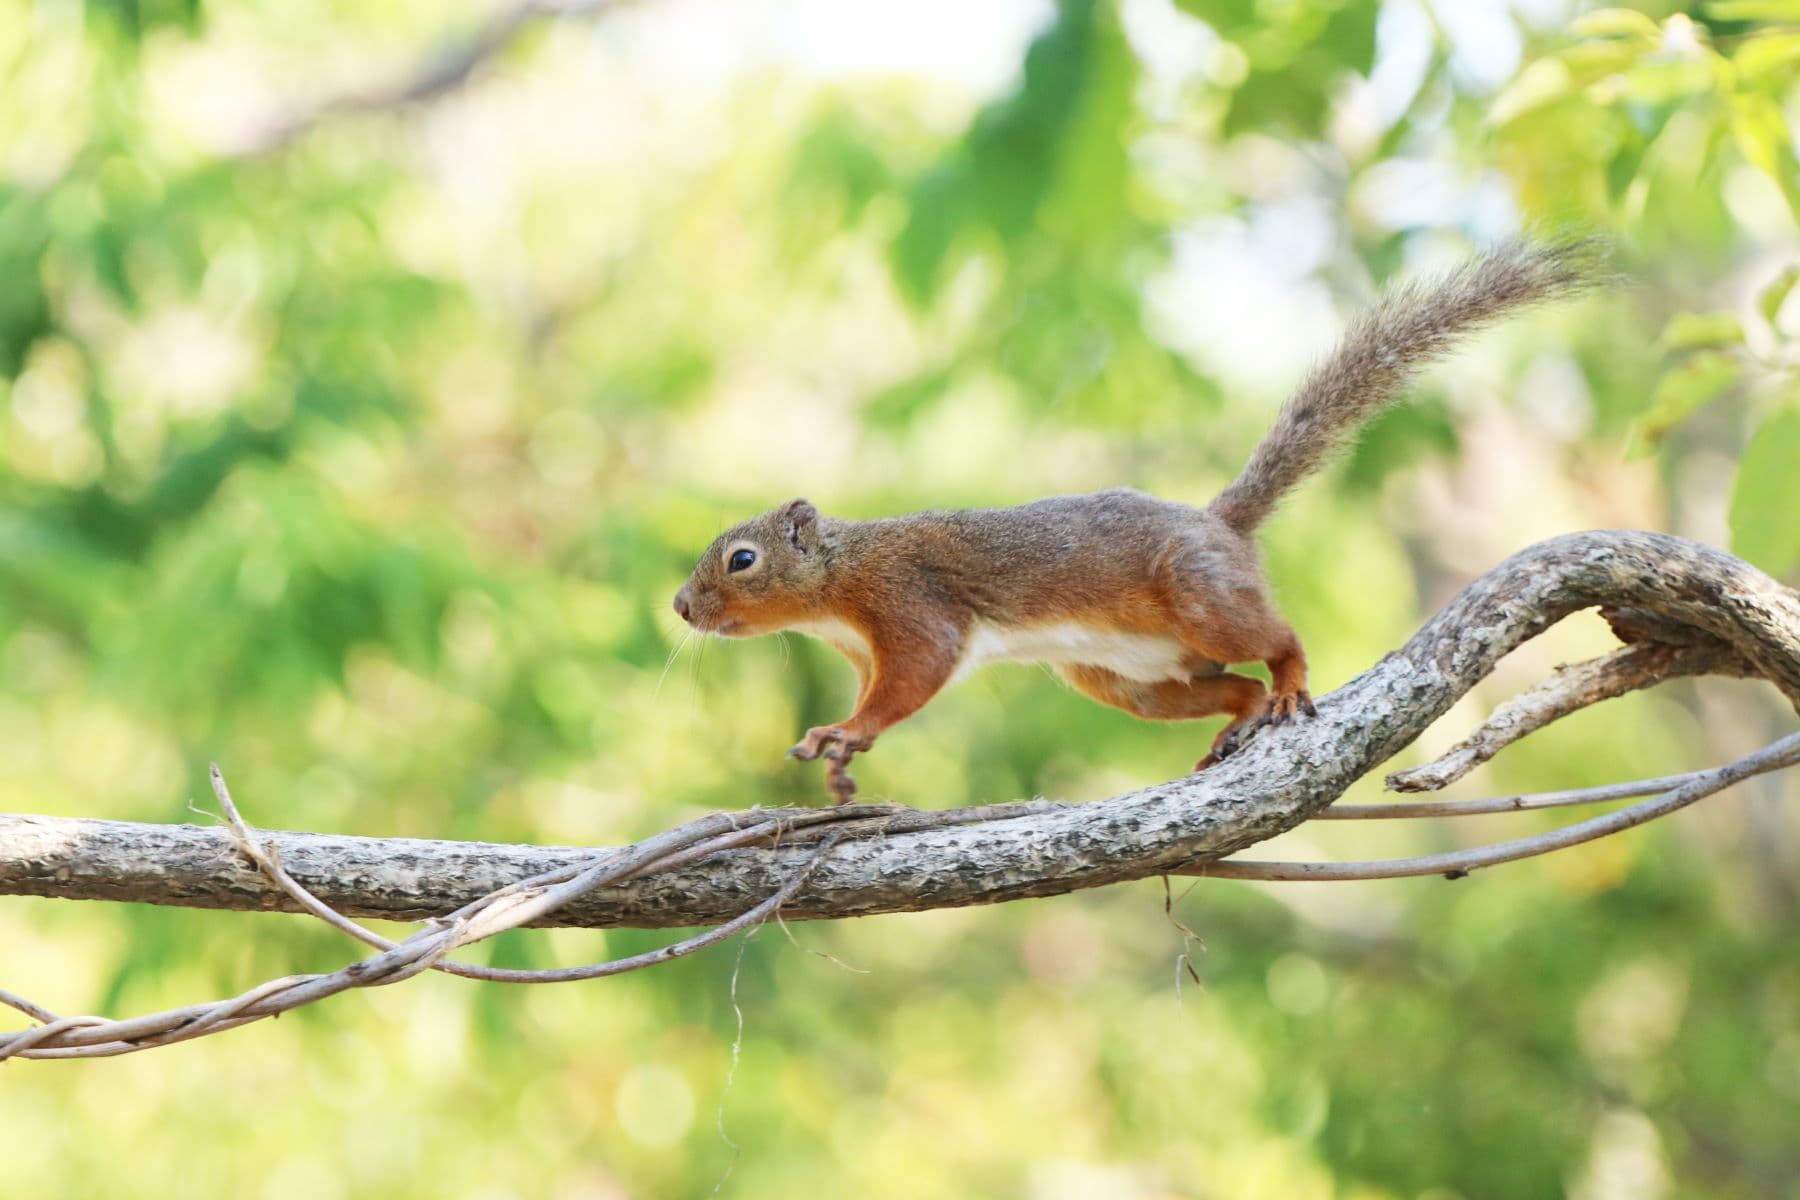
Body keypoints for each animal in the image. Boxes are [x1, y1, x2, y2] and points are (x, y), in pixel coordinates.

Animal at [673, 239, 1591, 802]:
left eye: (742, 560)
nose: (681, 608)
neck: (837, 584)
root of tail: (1220, 526)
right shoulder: (867, 647)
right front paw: (840, 741)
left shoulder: (910, 605)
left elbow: (912, 679)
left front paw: (848, 728)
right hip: (1130, 682)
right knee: (1229, 688)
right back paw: (1238, 722)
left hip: (1202, 602)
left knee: (1274, 642)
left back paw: (1290, 685)